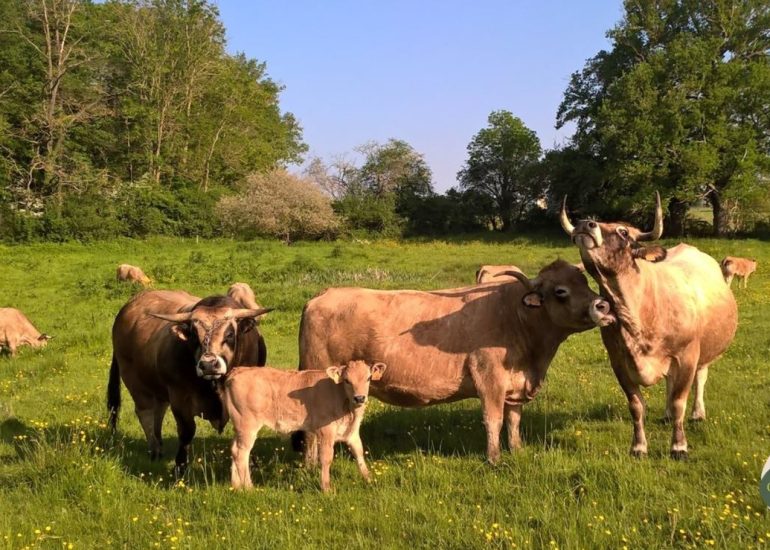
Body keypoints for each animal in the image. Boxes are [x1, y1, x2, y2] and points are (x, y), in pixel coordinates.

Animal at [108, 288, 270, 474]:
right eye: (193, 335)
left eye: (229, 334)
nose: (208, 365)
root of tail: (130, 305)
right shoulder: (179, 397)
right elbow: (186, 431)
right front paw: (180, 466)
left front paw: (251, 464)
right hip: (134, 381)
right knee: (145, 413)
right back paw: (154, 449)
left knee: (159, 411)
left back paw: (159, 445)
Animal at [225, 360, 388, 494]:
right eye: (347, 380)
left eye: (368, 378)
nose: (360, 398)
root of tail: (238, 370)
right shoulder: (326, 431)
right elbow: (326, 458)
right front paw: (326, 489)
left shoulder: (352, 432)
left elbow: (359, 451)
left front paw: (369, 479)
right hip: (247, 425)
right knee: (241, 453)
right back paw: (249, 488)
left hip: (239, 427)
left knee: (234, 449)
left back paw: (236, 486)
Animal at [294, 262, 612, 466]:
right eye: (560, 291)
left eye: (585, 282)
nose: (603, 305)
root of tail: (322, 295)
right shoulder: (490, 379)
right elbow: (494, 420)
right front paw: (494, 459)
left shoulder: (516, 384)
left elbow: (513, 420)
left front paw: (517, 450)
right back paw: (310, 466)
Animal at [560, 194, 736, 462]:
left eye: (623, 231)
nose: (585, 223)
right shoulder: (618, 361)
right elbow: (636, 406)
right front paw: (639, 447)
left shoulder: (687, 355)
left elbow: (679, 402)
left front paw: (679, 447)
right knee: (670, 382)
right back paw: (665, 415)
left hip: (705, 350)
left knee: (701, 378)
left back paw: (698, 414)